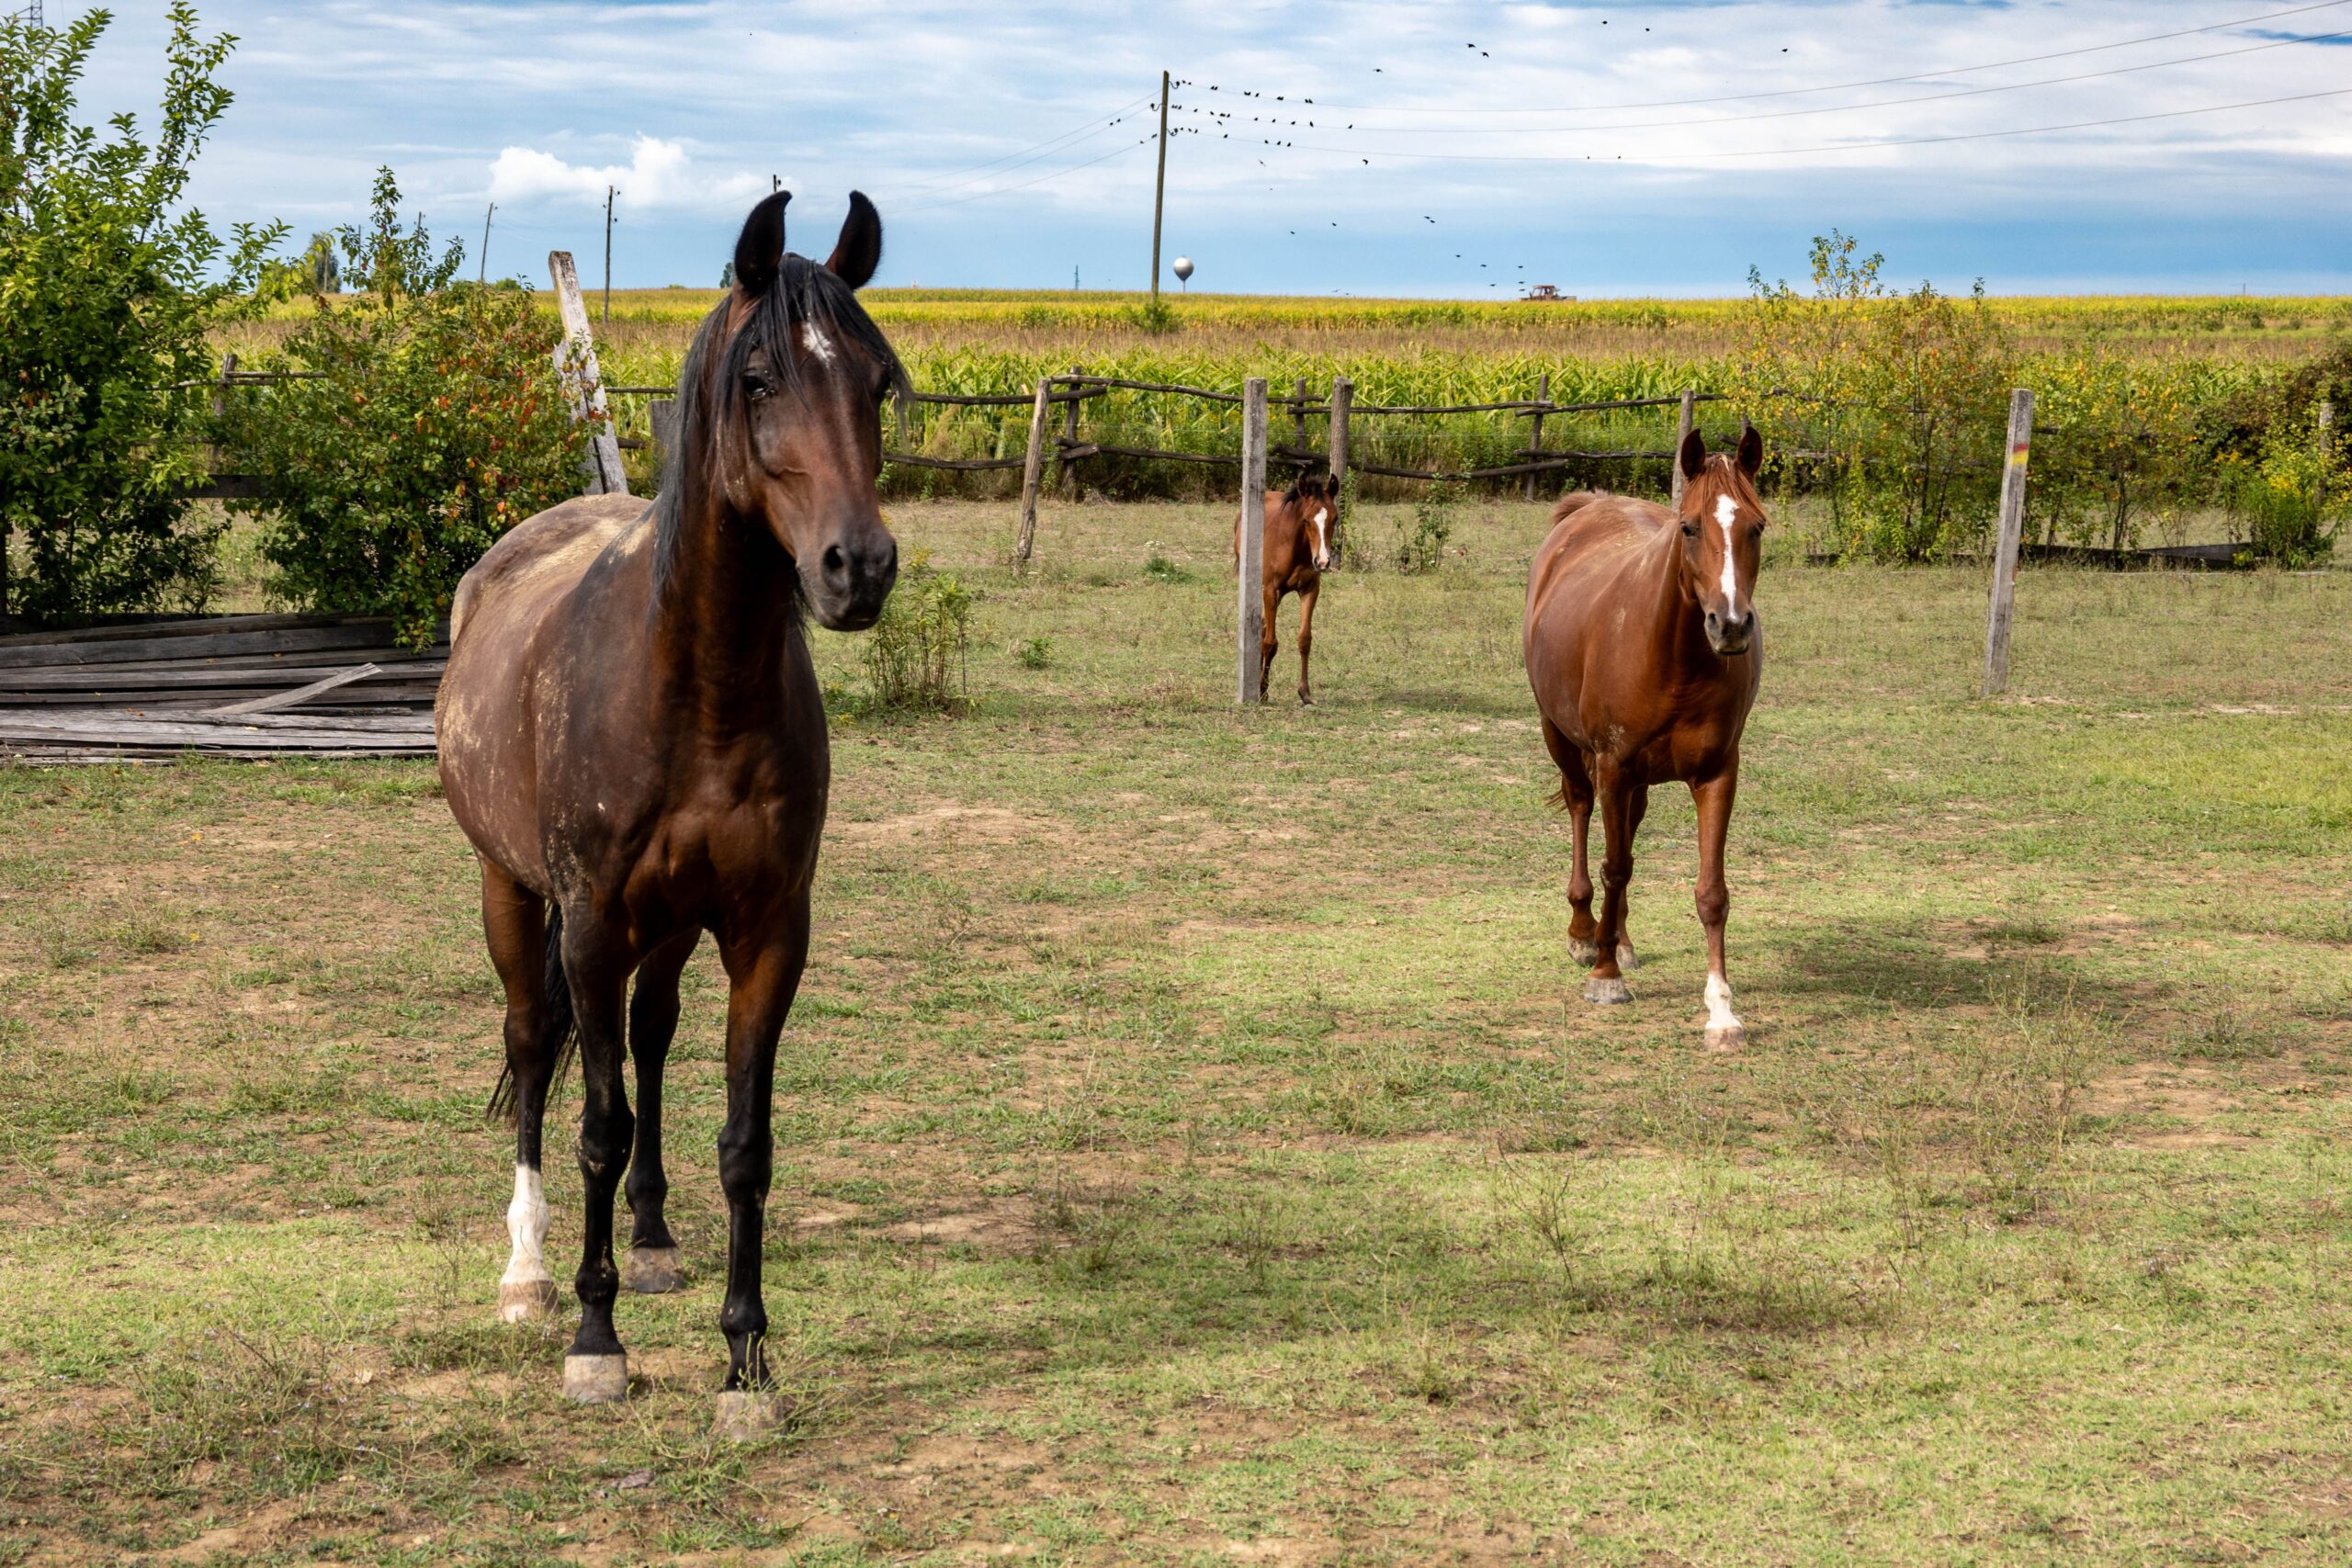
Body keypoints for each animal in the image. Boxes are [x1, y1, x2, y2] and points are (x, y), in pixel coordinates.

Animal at [435, 189, 906, 1432]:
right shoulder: (593, 924)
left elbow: (744, 1143)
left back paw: (648, 1239)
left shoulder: (766, 931)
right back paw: (529, 1274)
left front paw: (745, 1363)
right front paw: (595, 1342)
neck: (694, 685)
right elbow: (596, 1126)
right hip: (514, 894)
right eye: (758, 379)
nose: (857, 568)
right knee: (536, 1048)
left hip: (672, 926)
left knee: (649, 1038)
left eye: (877, 382)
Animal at [1233, 470, 1341, 704]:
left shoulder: (1310, 590)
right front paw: (1262, 691)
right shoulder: (1271, 590)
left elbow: (1305, 639)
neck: (1294, 548)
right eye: (1306, 519)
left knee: (1263, 625)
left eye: (1335, 519)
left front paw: (1305, 693)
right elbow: (1270, 643)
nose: (1323, 561)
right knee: (1264, 630)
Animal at [1522, 424, 1766, 1052]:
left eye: (1756, 526)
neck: (1675, 656)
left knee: (1627, 833)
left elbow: (1711, 892)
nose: (1730, 625)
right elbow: (1614, 866)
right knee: (1583, 815)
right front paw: (1605, 976)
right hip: (1564, 742)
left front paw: (1721, 1012)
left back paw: (1622, 940)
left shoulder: (1717, 774)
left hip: (1639, 780)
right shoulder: (1612, 764)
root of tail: (1590, 508)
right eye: (1690, 527)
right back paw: (1585, 933)